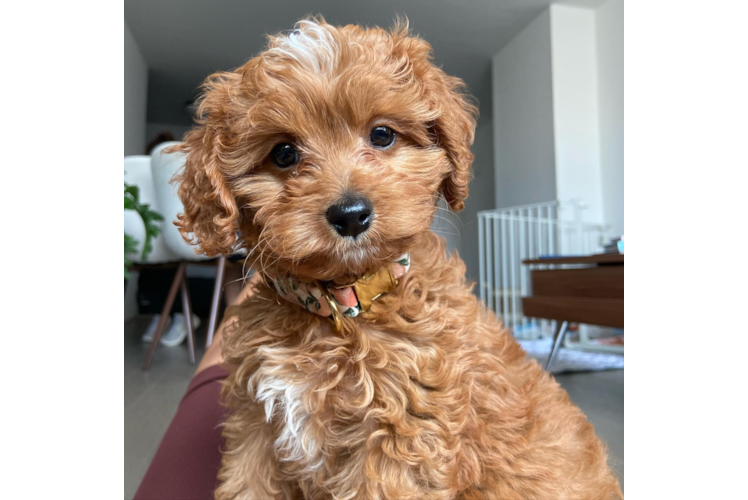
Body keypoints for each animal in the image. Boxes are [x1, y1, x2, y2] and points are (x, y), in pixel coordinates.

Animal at [172, 17, 624, 500]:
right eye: (284, 154)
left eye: (382, 135)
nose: (350, 214)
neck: (343, 304)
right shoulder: (256, 427)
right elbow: (248, 483)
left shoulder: (404, 436)